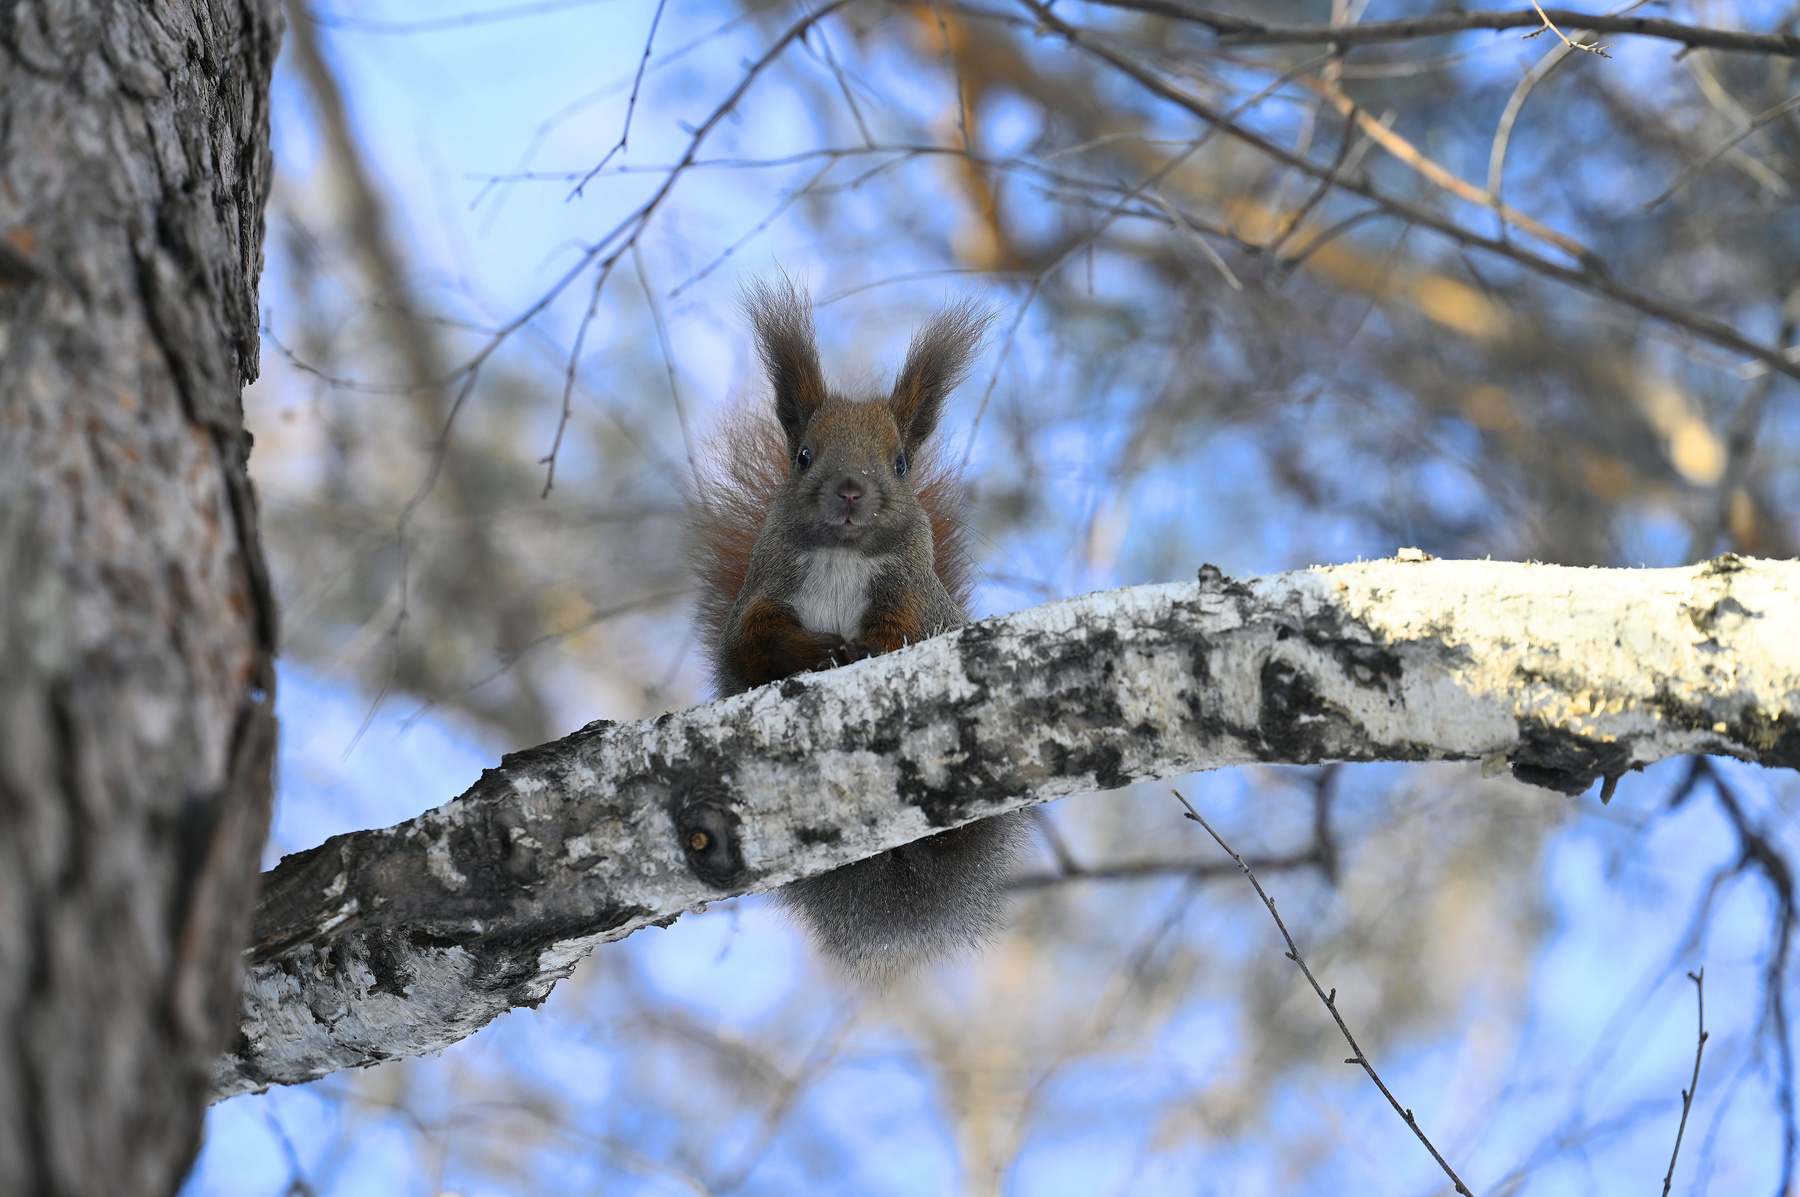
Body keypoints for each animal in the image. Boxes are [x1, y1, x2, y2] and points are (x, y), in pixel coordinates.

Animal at [689, 279, 1036, 983]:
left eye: (900, 464)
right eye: (802, 456)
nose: (850, 490)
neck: (841, 557)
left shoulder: (914, 603)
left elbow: (897, 638)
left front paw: (862, 650)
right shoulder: (759, 605)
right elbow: (754, 647)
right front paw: (814, 652)